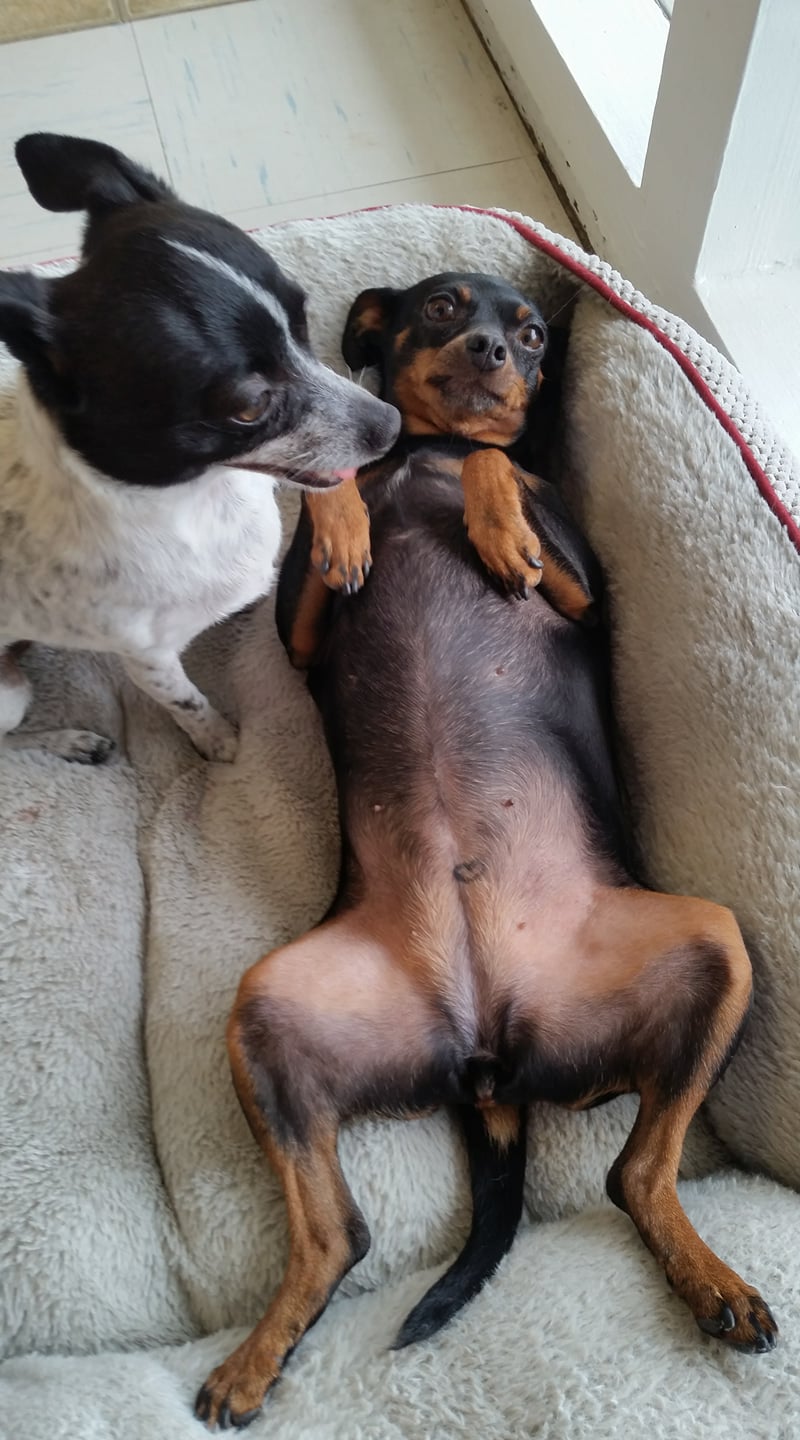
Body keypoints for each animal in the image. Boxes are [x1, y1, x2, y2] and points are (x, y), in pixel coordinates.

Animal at [0, 133, 399, 764]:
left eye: (302, 316)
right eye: (249, 406)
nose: (392, 423)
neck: (199, 502)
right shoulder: (150, 662)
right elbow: (187, 703)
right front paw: (222, 745)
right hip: (6, 698)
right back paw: (70, 741)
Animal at [196, 273, 776, 1429]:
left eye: (535, 334)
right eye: (442, 306)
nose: (488, 352)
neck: (423, 455)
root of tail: (488, 1054)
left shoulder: (584, 596)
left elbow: (498, 465)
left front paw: (495, 517)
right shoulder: (300, 632)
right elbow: (343, 492)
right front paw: (347, 509)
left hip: (715, 939)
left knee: (634, 1173)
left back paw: (713, 1284)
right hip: (268, 1009)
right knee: (341, 1236)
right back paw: (252, 1363)